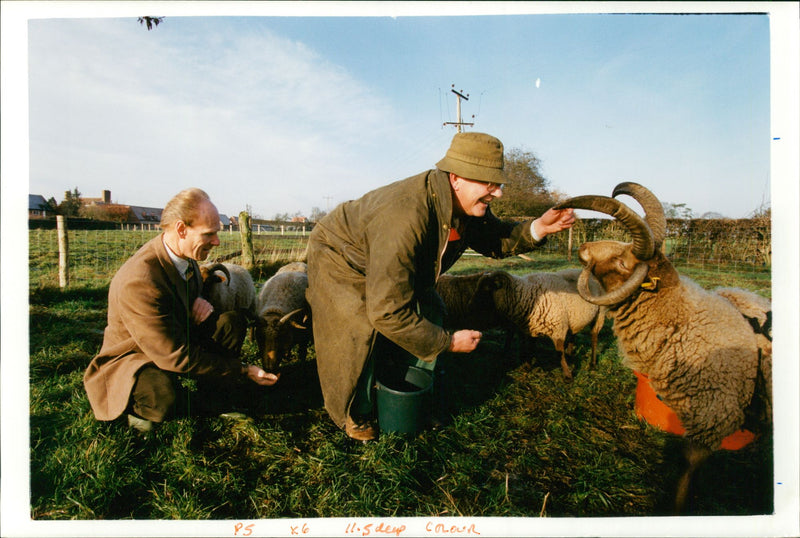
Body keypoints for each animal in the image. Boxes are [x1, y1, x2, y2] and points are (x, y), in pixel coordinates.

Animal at [552, 180, 772, 510]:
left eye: (623, 262)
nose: (583, 248)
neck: (680, 316)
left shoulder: (712, 416)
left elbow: (688, 468)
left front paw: (676, 507)